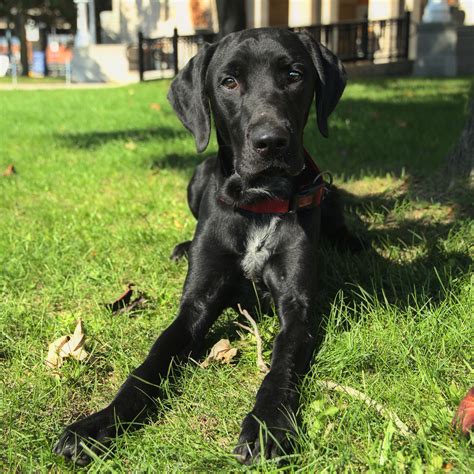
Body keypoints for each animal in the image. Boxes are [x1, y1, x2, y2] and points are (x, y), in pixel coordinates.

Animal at [54, 27, 360, 464]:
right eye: (229, 82)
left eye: (295, 74)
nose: (271, 142)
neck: (257, 201)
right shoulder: (196, 303)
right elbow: (150, 364)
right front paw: (97, 423)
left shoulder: (297, 308)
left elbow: (281, 367)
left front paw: (267, 424)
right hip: (196, 175)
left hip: (328, 191)